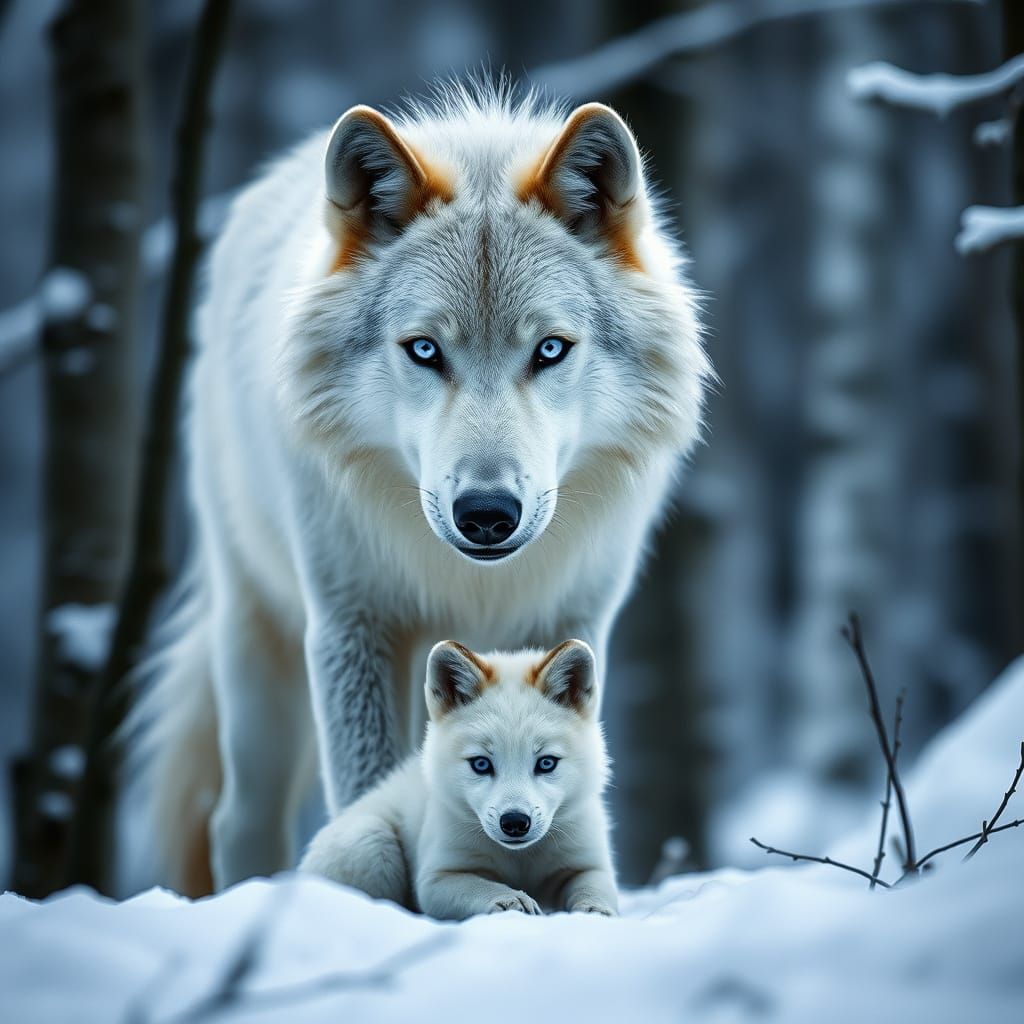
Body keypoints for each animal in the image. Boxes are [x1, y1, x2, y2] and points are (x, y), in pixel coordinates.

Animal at [299, 639, 617, 919]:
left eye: (546, 763)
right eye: (481, 764)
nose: (515, 822)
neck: (519, 861)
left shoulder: (588, 865)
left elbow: (595, 891)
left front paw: (594, 912)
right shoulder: (437, 877)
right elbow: (482, 888)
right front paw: (511, 899)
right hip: (371, 841)